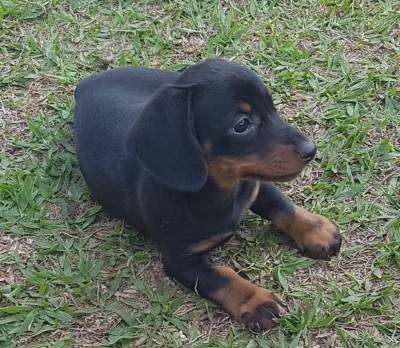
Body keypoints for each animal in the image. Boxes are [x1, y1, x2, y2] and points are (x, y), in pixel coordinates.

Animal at [74, 58, 340, 330]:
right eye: (241, 125)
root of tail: (87, 83)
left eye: (273, 108)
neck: (221, 188)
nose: (311, 150)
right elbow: (222, 277)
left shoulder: (253, 183)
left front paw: (316, 229)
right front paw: (256, 301)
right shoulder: (181, 261)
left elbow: (280, 204)